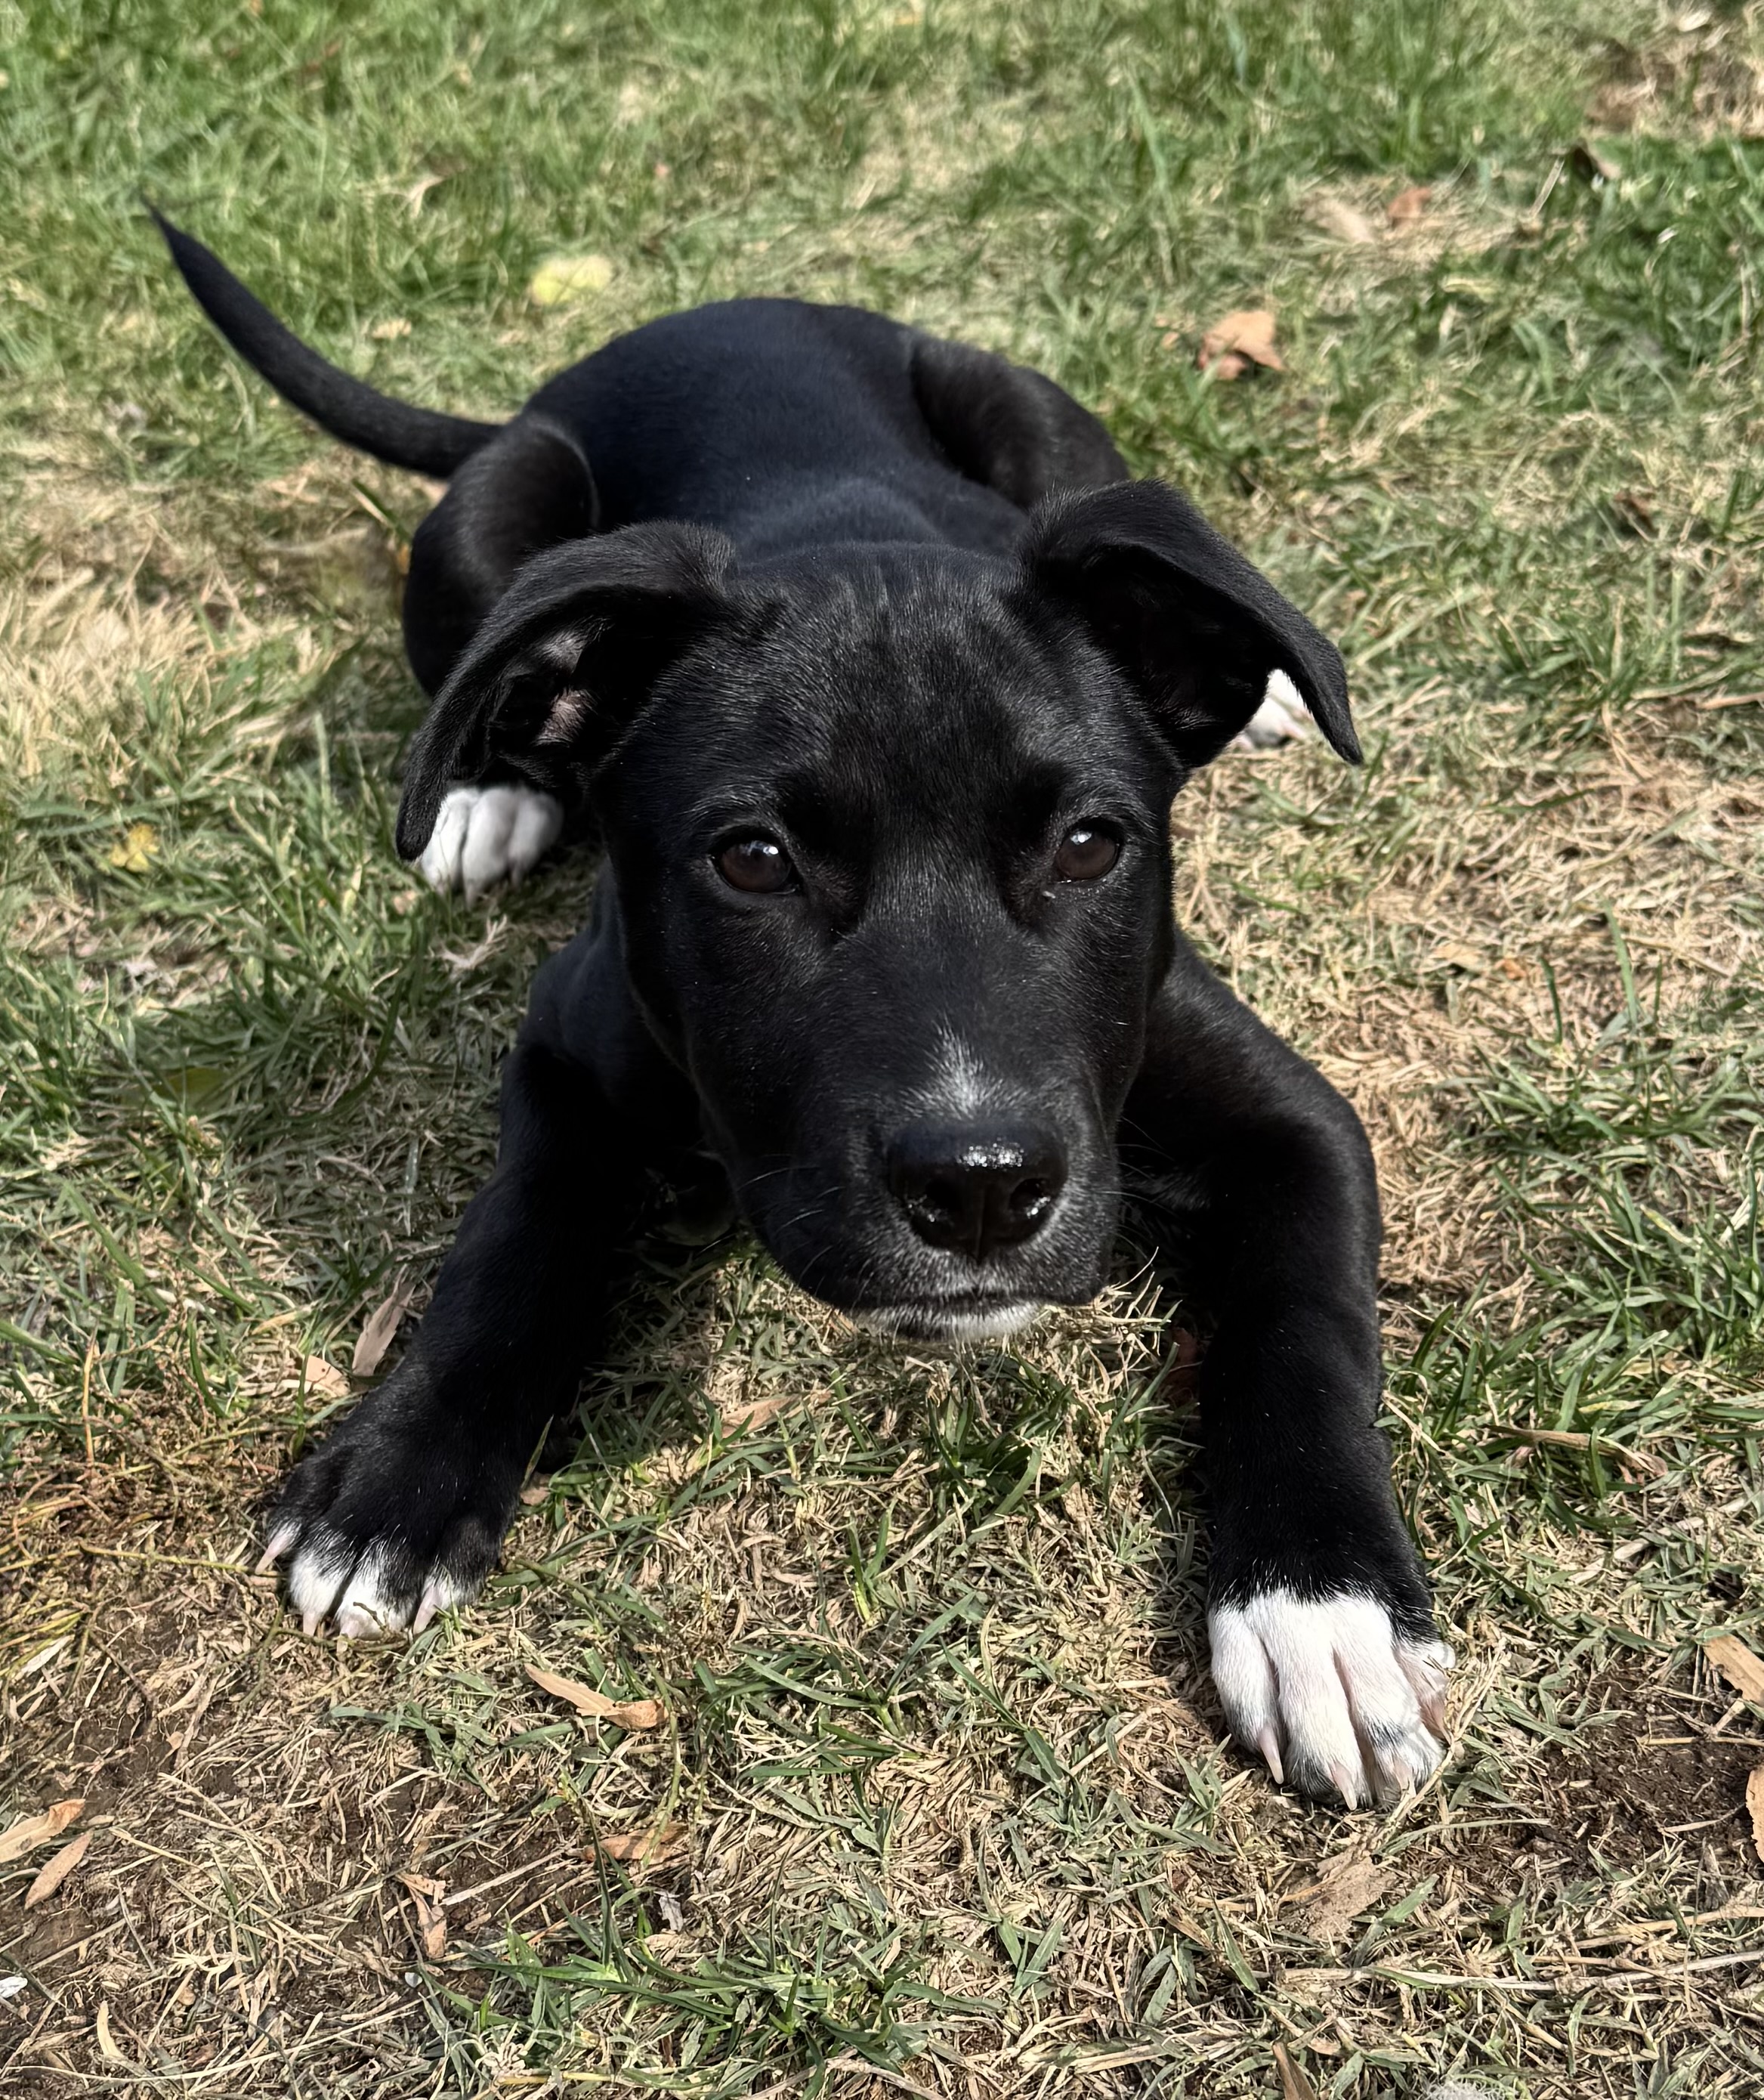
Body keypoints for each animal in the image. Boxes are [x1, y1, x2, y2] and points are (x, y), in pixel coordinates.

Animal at [158, 210, 1452, 1807]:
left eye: (1092, 843)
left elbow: (1309, 1322)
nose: (980, 1188)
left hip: (1037, 417)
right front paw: (398, 1474)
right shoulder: (571, 1045)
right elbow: (515, 1238)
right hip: (480, 520)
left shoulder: (1288, 1113)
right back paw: (482, 787)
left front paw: (1322, 1608)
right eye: (752, 860)